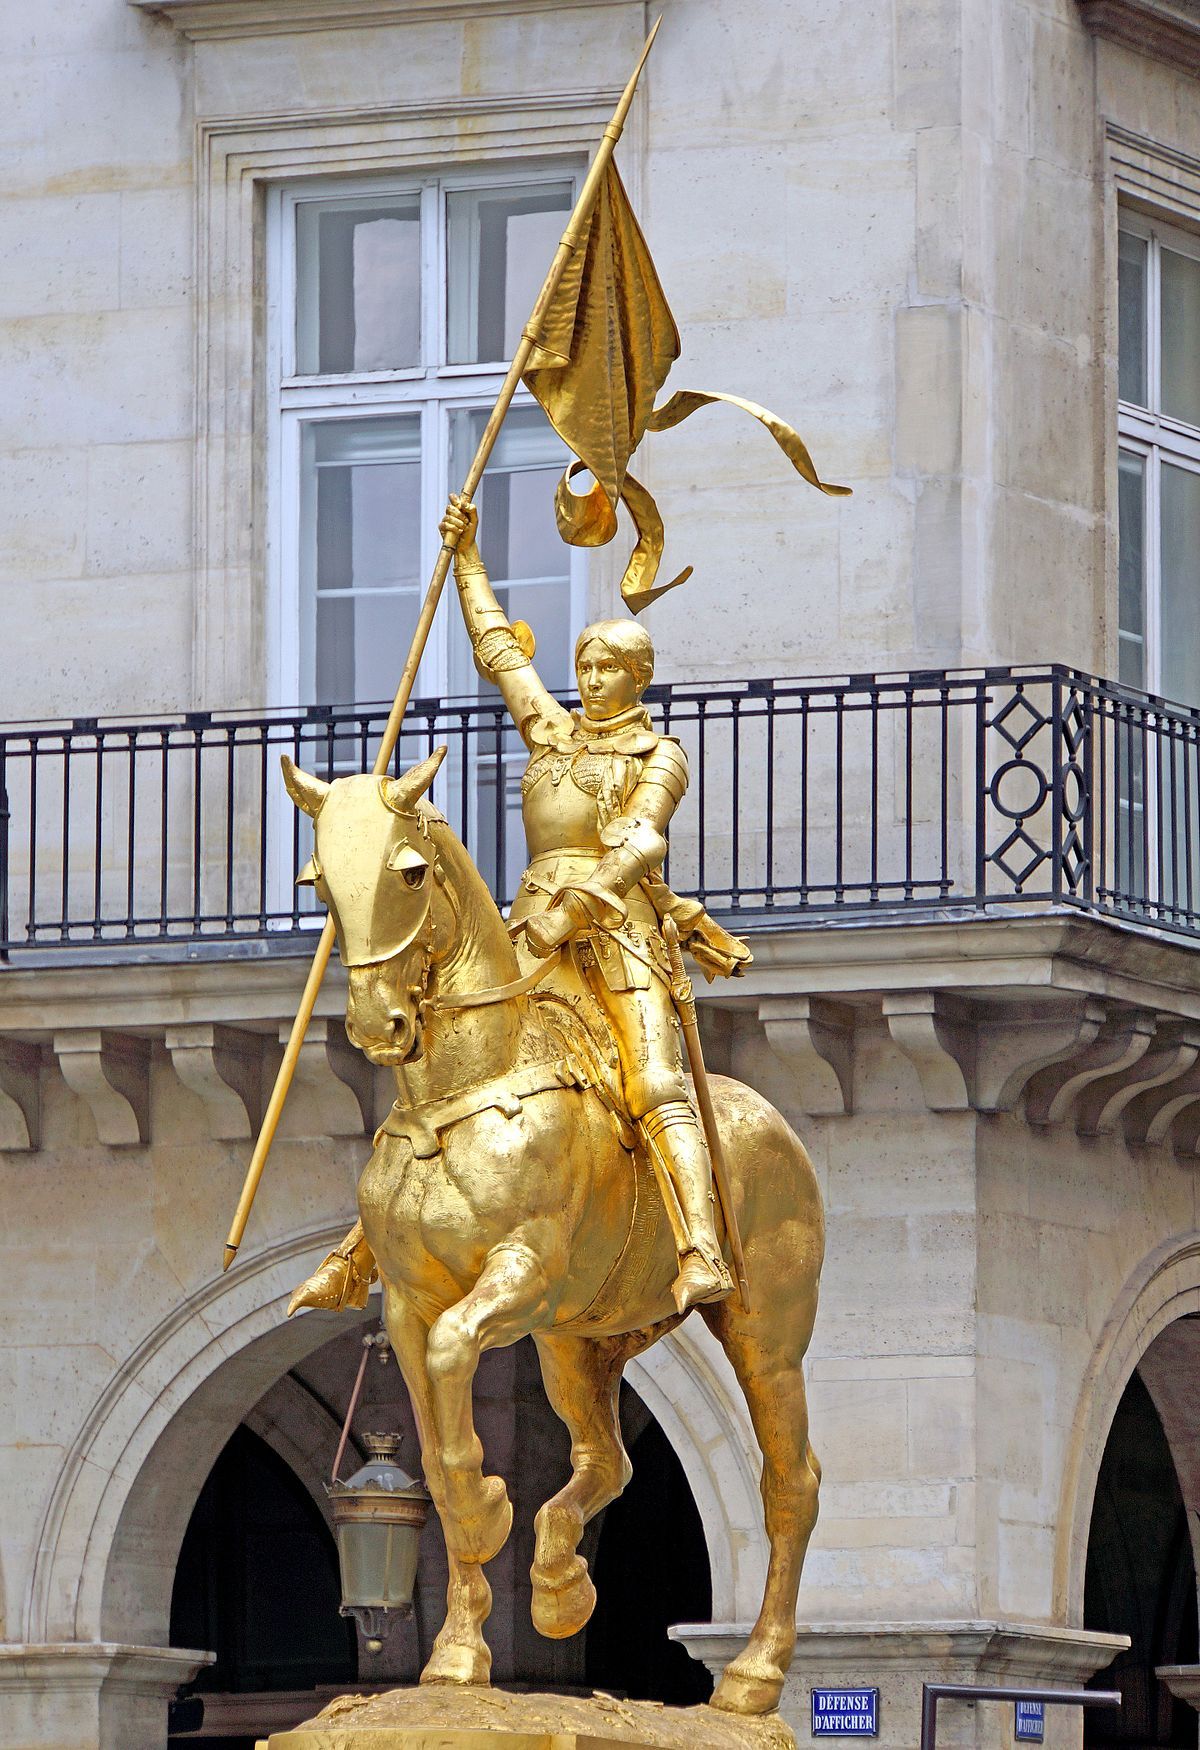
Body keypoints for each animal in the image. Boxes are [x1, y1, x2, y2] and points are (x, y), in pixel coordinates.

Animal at [281, 745, 825, 1715]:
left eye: (407, 871)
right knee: (607, 1461)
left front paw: (493, 1510)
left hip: (764, 1337)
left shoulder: (521, 1273)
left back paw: (754, 1673)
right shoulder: (408, 1308)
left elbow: (458, 1374)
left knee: (790, 1482)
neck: (458, 1095)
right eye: (318, 881)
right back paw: (560, 1582)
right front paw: (461, 1652)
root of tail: (768, 1117)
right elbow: (440, 1460)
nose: (377, 1024)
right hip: (577, 1344)